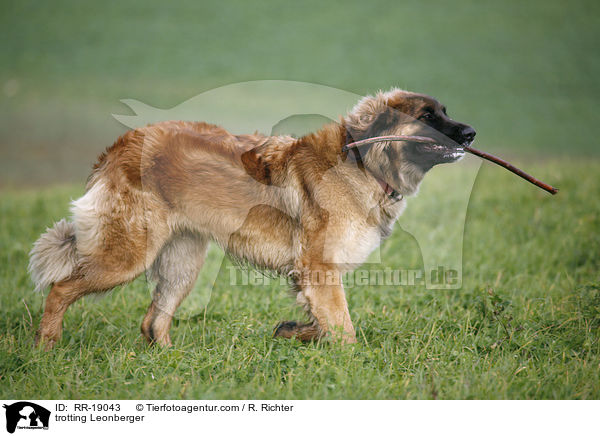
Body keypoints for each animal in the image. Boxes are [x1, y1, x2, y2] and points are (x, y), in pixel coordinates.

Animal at [28, 87, 476, 348]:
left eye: (444, 111)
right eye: (427, 116)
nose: (471, 133)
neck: (364, 162)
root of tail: (122, 144)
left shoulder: (311, 274)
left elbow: (320, 318)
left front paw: (293, 332)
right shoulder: (320, 268)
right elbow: (343, 326)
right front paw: (351, 365)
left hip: (183, 260)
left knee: (154, 320)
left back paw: (170, 363)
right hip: (126, 256)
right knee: (60, 290)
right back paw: (47, 347)